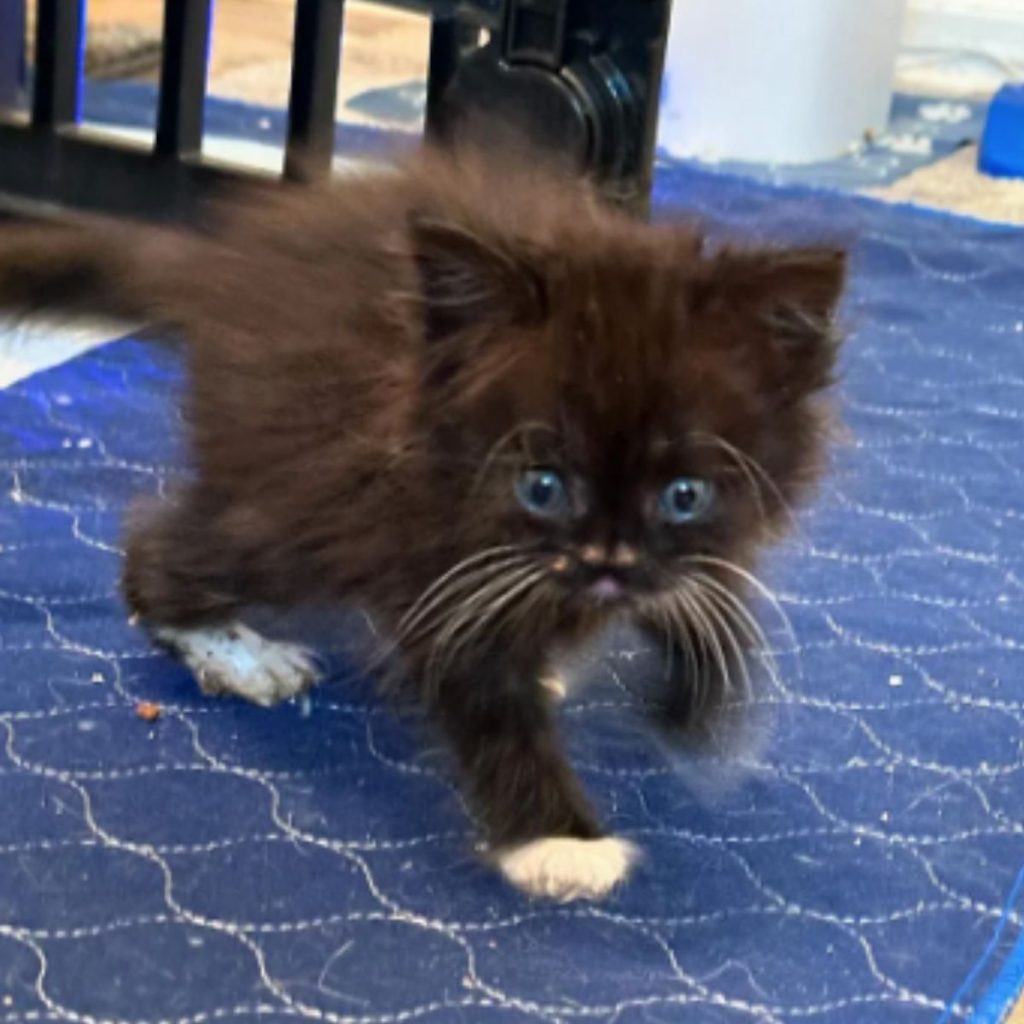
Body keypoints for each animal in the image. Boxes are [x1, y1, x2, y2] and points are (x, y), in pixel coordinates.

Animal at [0, 148, 847, 901]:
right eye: (542, 486)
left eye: (684, 495)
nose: (607, 560)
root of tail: (223, 268)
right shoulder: (421, 532)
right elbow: (479, 683)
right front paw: (558, 842)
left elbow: (705, 597)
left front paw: (695, 699)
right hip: (308, 503)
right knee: (167, 556)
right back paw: (238, 653)